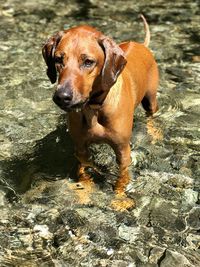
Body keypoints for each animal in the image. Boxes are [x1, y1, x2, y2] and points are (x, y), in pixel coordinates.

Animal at [42, 15, 159, 198]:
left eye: (88, 62)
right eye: (58, 59)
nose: (62, 97)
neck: (93, 107)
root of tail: (141, 45)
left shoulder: (123, 151)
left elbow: (122, 176)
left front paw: (119, 197)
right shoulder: (80, 147)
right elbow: (83, 170)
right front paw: (84, 189)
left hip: (150, 99)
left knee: (152, 116)